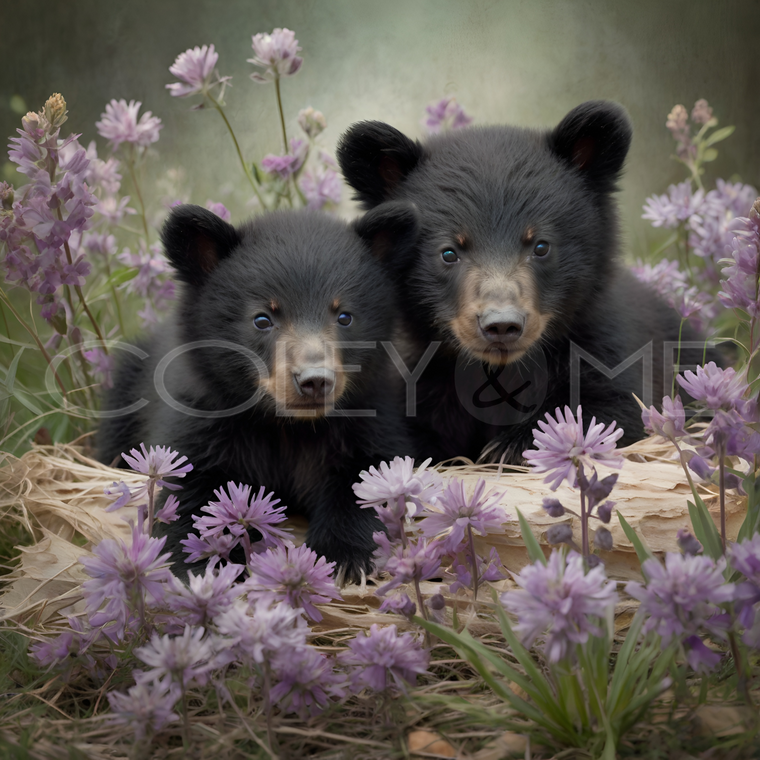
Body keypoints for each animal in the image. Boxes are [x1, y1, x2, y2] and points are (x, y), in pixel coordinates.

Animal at [98, 203, 419, 584]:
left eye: (344, 316)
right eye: (262, 319)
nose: (314, 380)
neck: (285, 425)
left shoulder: (368, 414)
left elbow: (367, 475)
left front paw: (340, 557)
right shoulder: (202, 417)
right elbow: (193, 492)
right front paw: (206, 561)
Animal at [337, 100, 713, 465]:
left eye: (541, 246)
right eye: (448, 252)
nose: (502, 325)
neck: (499, 372)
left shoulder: (606, 344)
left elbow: (613, 405)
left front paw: (514, 445)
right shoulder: (420, 376)